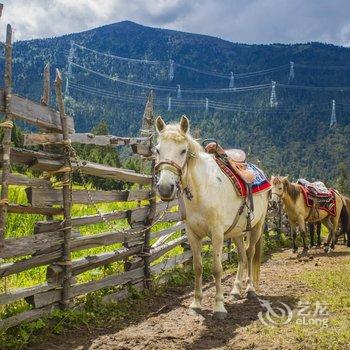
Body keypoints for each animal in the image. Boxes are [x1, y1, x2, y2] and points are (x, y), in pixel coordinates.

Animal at [154, 116, 270, 318]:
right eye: (158, 149)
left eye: (183, 150)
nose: (165, 188)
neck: (202, 190)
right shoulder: (192, 234)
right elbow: (198, 267)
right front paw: (196, 304)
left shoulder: (216, 234)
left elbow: (217, 269)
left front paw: (219, 306)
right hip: (237, 232)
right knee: (241, 256)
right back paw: (235, 290)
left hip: (256, 227)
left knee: (250, 253)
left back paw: (250, 289)